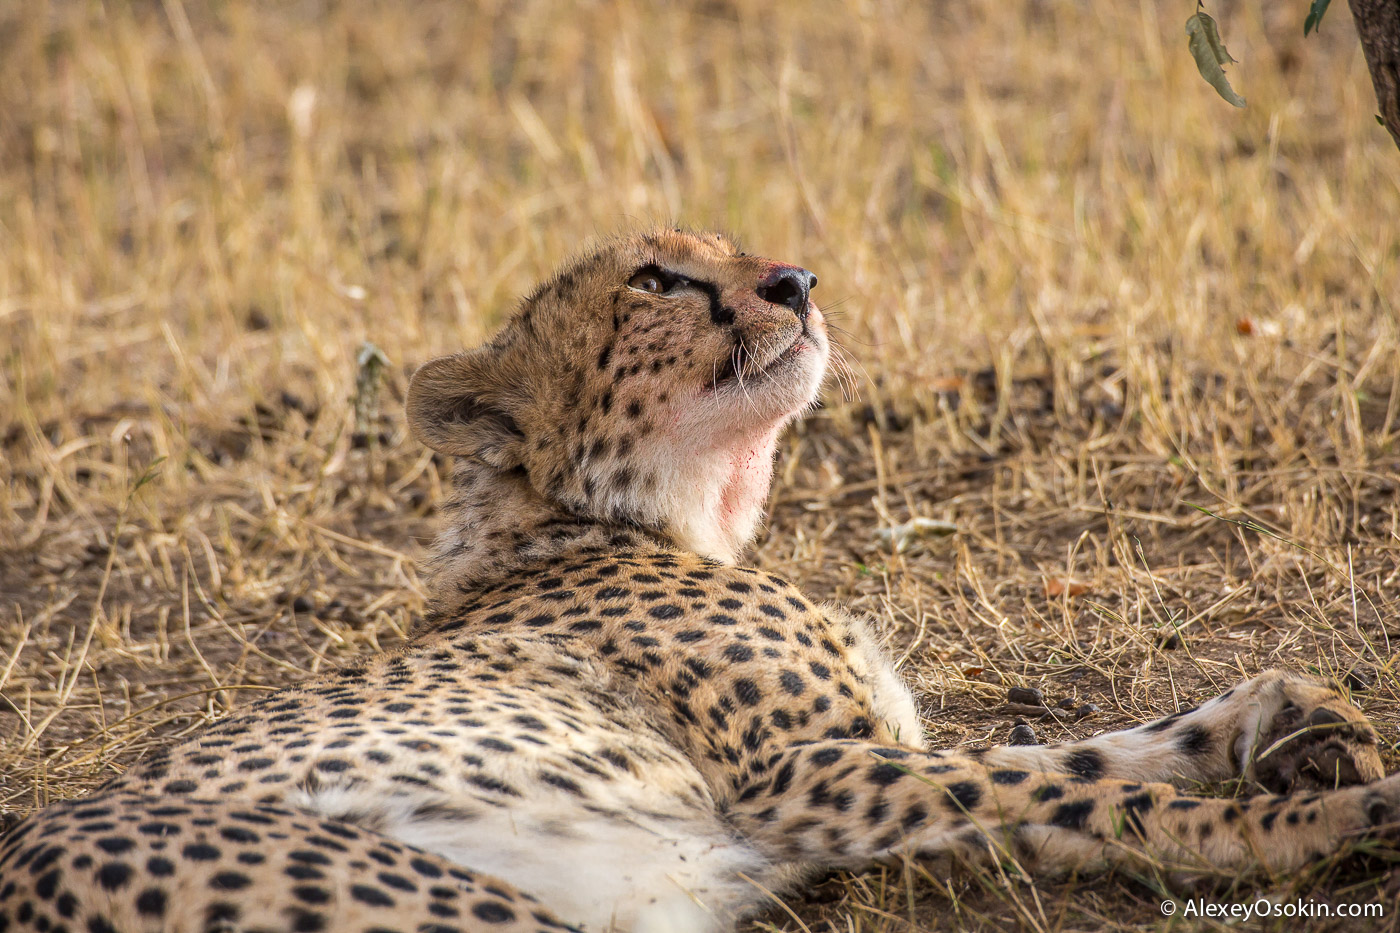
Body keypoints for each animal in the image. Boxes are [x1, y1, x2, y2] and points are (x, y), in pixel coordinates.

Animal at [2, 226, 1400, 930]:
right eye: (657, 278)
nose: (797, 281)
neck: (657, 518)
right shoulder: (800, 779)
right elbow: (1093, 791)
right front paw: (1329, 822)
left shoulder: (849, 771)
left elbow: (1103, 755)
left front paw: (1304, 724)